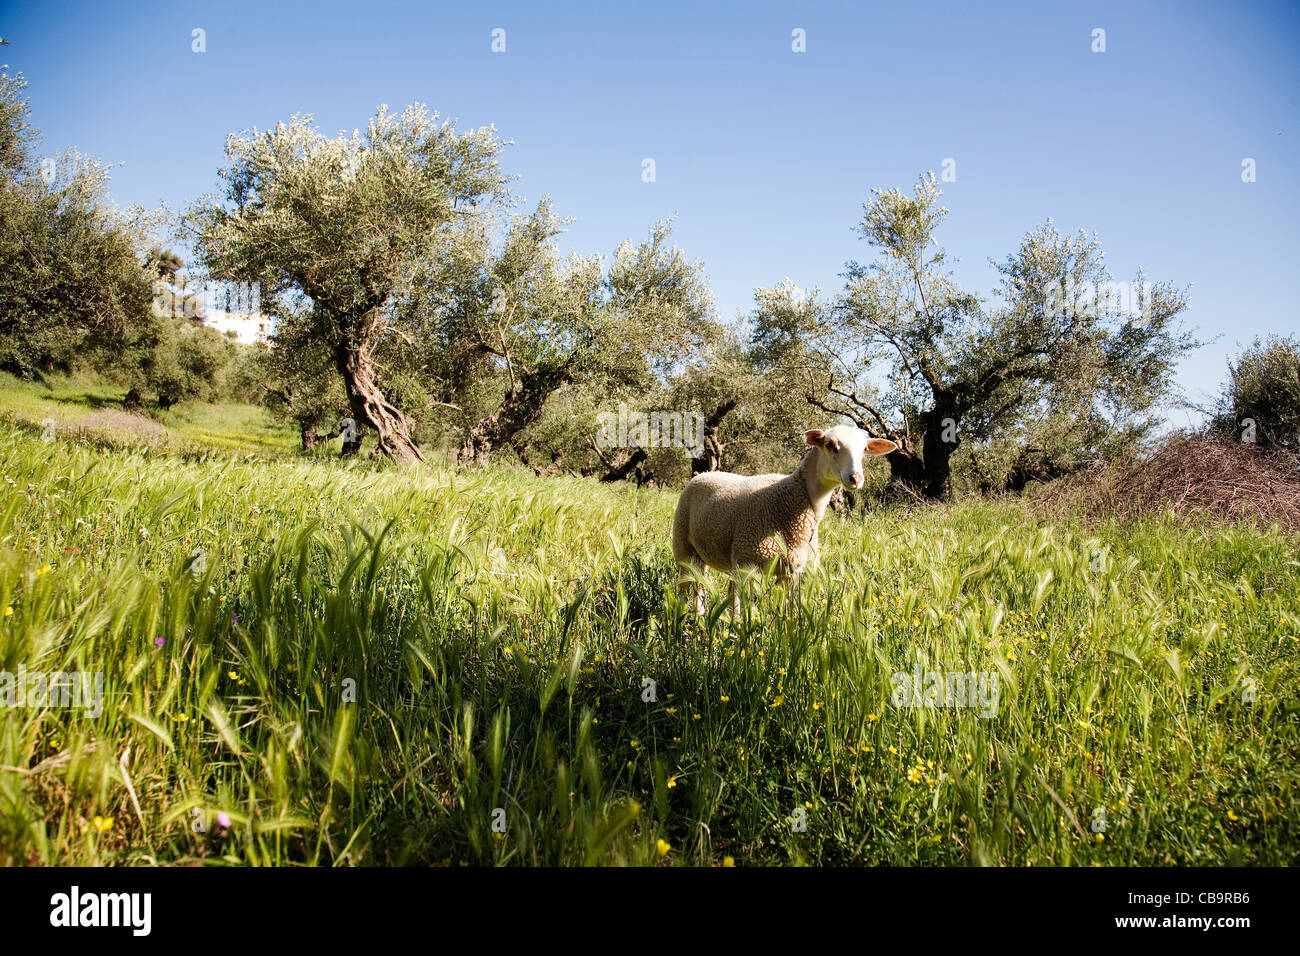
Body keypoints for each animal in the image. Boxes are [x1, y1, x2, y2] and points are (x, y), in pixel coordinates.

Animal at [670, 424, 894, 616]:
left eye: (864, 449)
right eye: (830, 445)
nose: (856, 478)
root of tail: (702, 474)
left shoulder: (793, 570)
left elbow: (789, 608)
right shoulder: (746, 563)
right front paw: (741, 631)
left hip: (711, 554)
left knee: (705, 585)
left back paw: (700, 617)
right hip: (685, 548)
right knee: (689, 587)